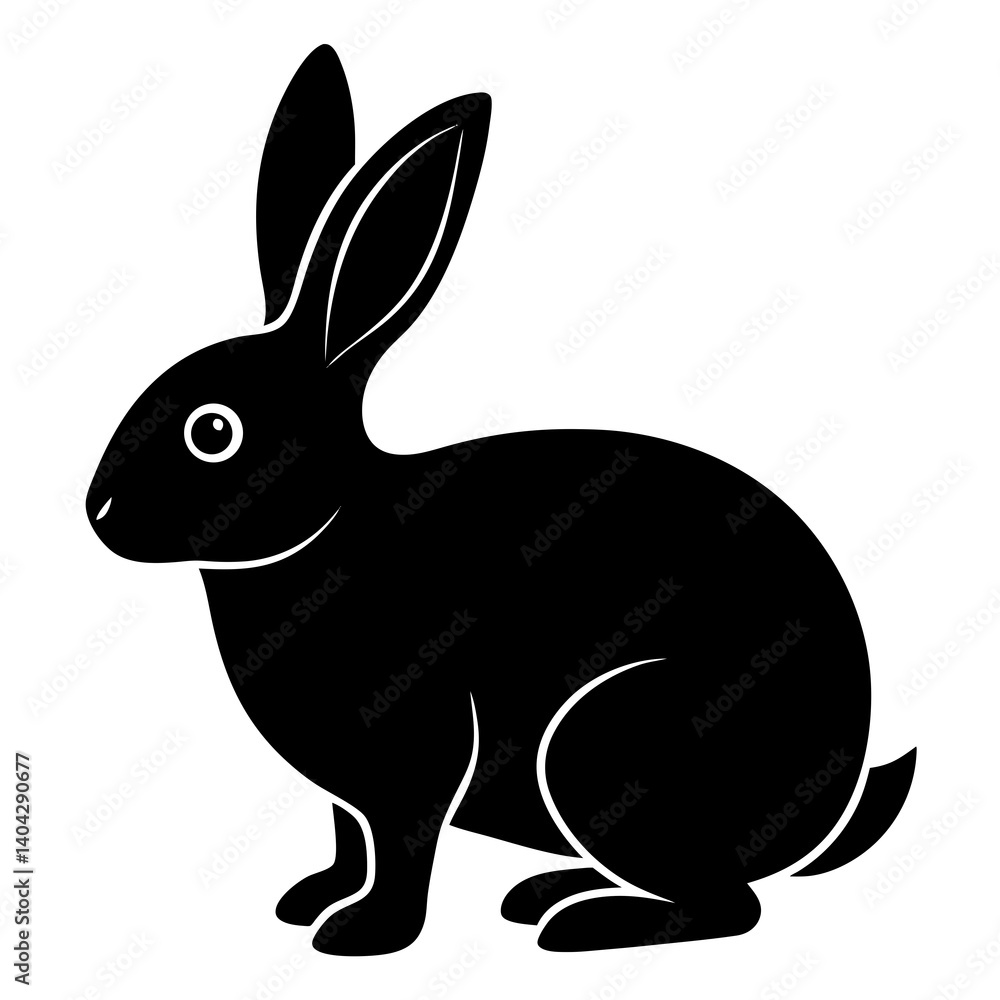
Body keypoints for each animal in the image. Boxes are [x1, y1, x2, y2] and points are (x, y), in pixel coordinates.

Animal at [87, 44, 916, 956]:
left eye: (213, 430)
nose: (100, 514)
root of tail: (833, 802)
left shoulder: (417, 754)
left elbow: (402, 846)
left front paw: (363, 934)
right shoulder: (349, 791)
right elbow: (348, 838)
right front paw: (313, 900)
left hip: (613, 743)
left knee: (729, 907)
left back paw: (579, 924)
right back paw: (545, 893)